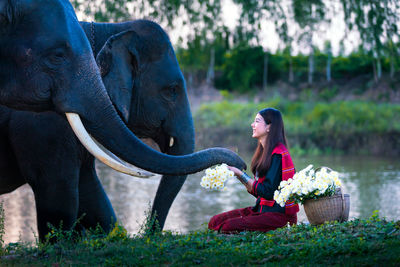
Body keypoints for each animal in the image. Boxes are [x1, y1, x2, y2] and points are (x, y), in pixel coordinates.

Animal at [0, 0, 245, 242]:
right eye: (171, 91)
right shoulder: (42, 127)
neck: (108, 29)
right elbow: (57, 194)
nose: (241, 165)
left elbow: (91, 192)